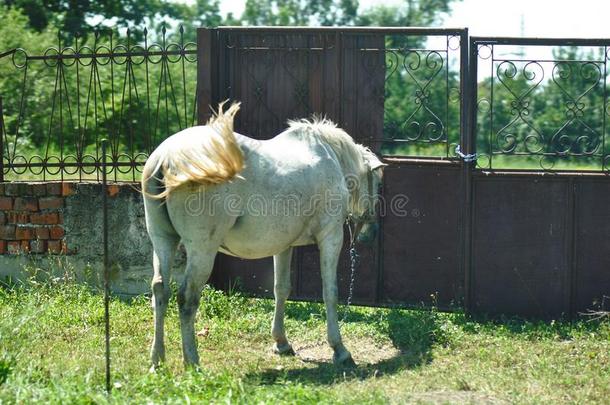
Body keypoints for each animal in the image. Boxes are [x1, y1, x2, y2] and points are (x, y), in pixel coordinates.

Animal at [142, 102, 384, 370]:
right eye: (379, 184)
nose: (371, 234)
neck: (329, 157)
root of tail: (166, 158)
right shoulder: (331, 238)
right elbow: (329, 292)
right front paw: (339, 349)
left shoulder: (284, 246)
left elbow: (281, 288)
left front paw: (281, 342)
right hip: (202, 252)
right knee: (186, 299)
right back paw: (193, 363)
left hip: (163, 241)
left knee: (160, 291)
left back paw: (157, 360)